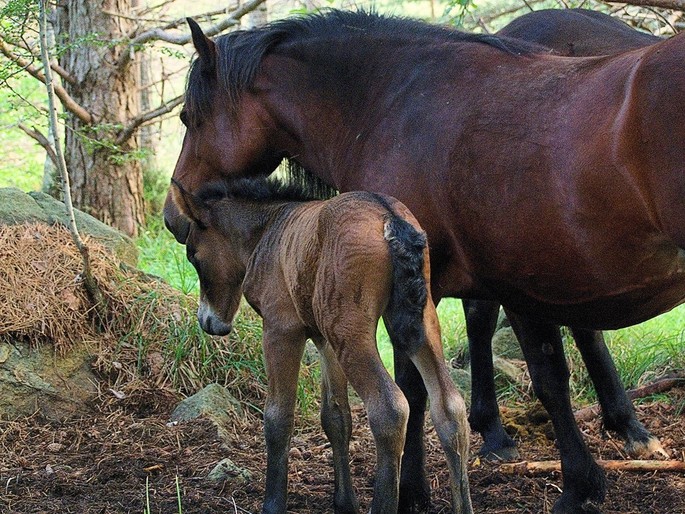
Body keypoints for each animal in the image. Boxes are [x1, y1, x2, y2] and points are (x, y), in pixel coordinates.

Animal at [172, 177, 470, 512]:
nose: (209, 322)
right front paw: (344, 502)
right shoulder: (323, 339)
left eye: (193, 255)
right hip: (421, 322)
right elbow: (336, 416)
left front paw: (273, 503)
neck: (269, 228)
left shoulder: (281, 328)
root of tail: (390, 217)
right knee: (450, 407)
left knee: (390, 409)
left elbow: (278, 416)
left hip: (350, 332)